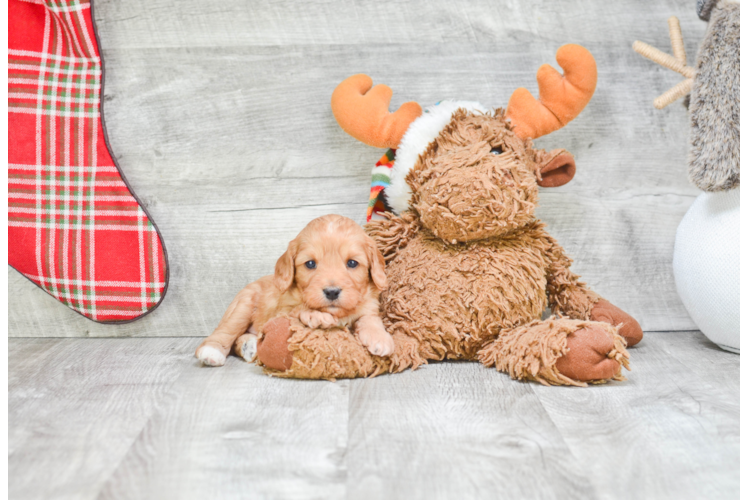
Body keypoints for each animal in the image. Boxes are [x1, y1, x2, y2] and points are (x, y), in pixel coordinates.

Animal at [193, 215, 394, 368]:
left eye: (352, 263)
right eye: (310, 263)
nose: (332, 292)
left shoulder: (369, 305)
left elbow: (370, 318)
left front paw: (380, 338)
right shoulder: (277, 312)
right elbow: (296, 309)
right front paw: (315, 315)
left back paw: (249, 347)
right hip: (243, 305)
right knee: (225, 331)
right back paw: (212, 351)